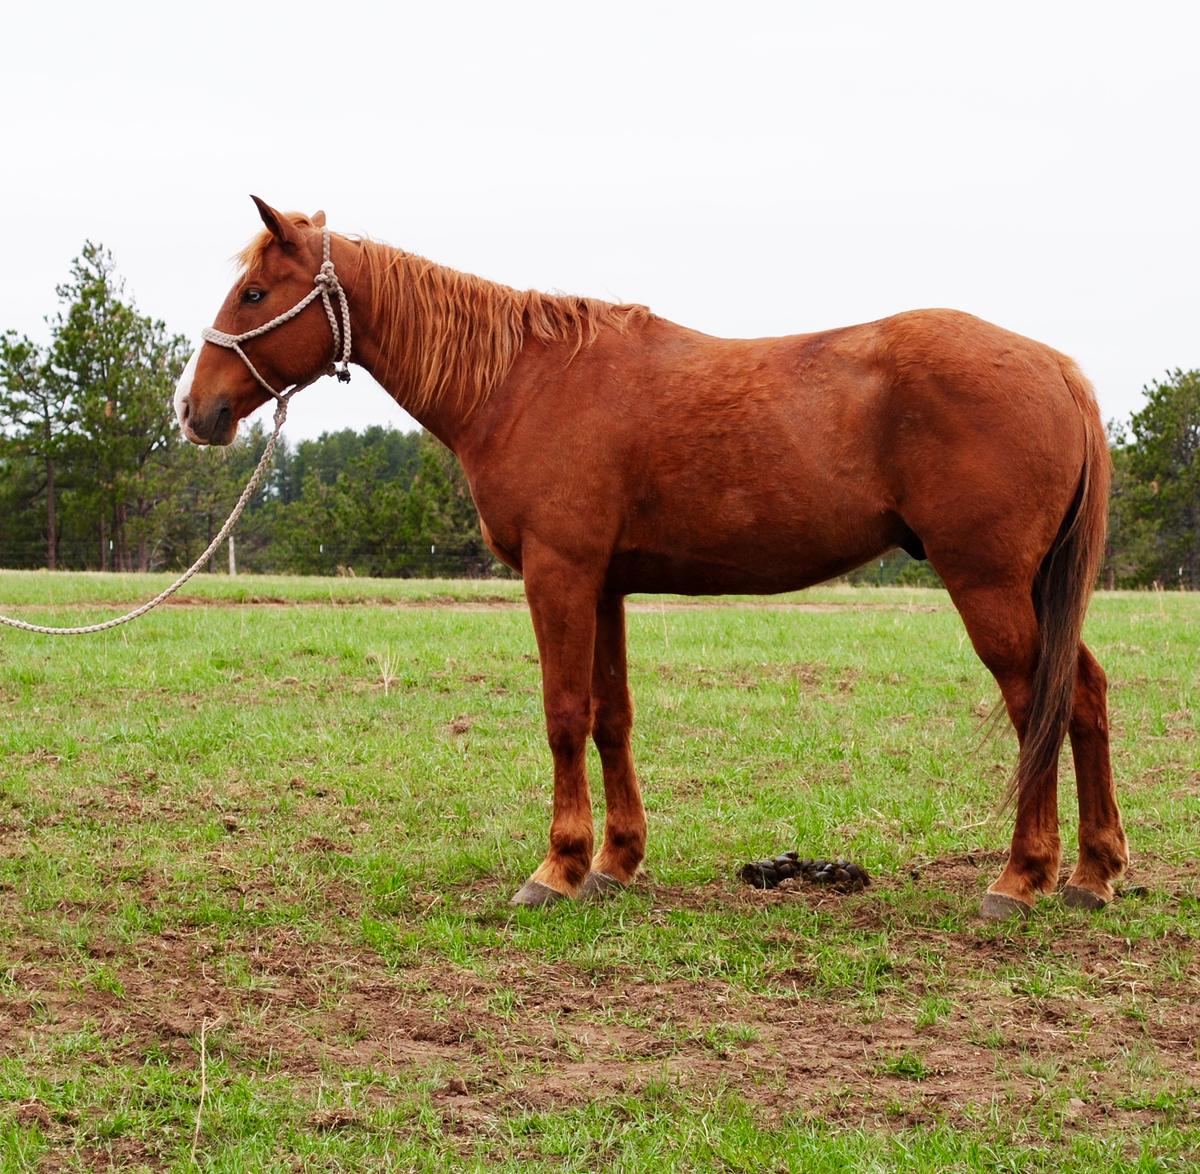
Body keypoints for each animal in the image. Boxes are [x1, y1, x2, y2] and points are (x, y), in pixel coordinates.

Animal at [175, 196, 1123, 921]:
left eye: (255, 291)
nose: (196, 411)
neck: (518, 381)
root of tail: (1057, 367)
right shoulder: (604, 586)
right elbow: (611, 717)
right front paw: (615, 862)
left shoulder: (558, 573)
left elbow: (564, 714)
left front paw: (556, 868)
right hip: (1030, 587)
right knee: (1084, 696)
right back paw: (1092, 870)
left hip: (988, 584)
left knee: (1040, 704)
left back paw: (1022, 877)